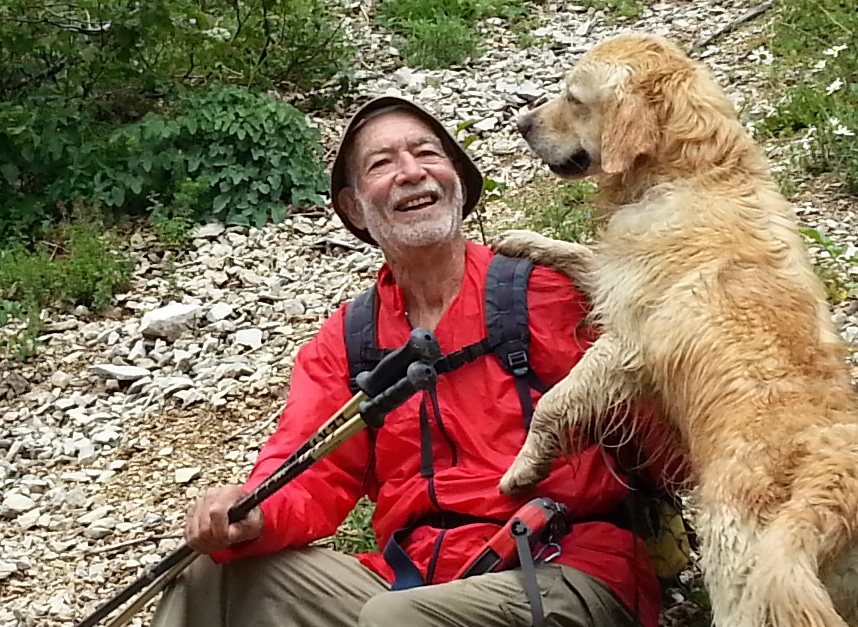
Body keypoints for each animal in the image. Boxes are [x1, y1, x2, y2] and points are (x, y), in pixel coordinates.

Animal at [492, 33, 856, 627]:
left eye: (573, 97)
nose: (521, 122)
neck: (690, 172)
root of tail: (829, 493)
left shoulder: (625, 345)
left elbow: (555, 401)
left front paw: (524, 468)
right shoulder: (612, 278)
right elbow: (579, 253)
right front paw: (522, 241)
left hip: (739, 575)